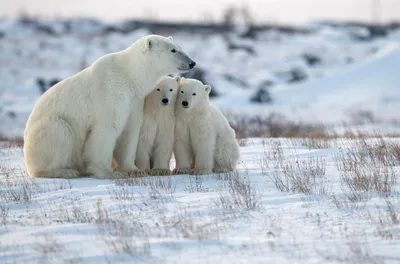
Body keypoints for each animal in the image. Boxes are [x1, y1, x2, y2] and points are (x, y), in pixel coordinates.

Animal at [23, 34, 195, 179]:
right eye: (173, 50)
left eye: (179, 47)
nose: (192, 63)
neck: (129, 75)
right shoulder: (110, 93)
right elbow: (106, 129)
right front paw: (108, 172)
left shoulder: (134, 101)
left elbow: (130, 131)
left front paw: (134, 169)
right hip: (44, 134)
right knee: (59, 129)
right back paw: (64, 171)